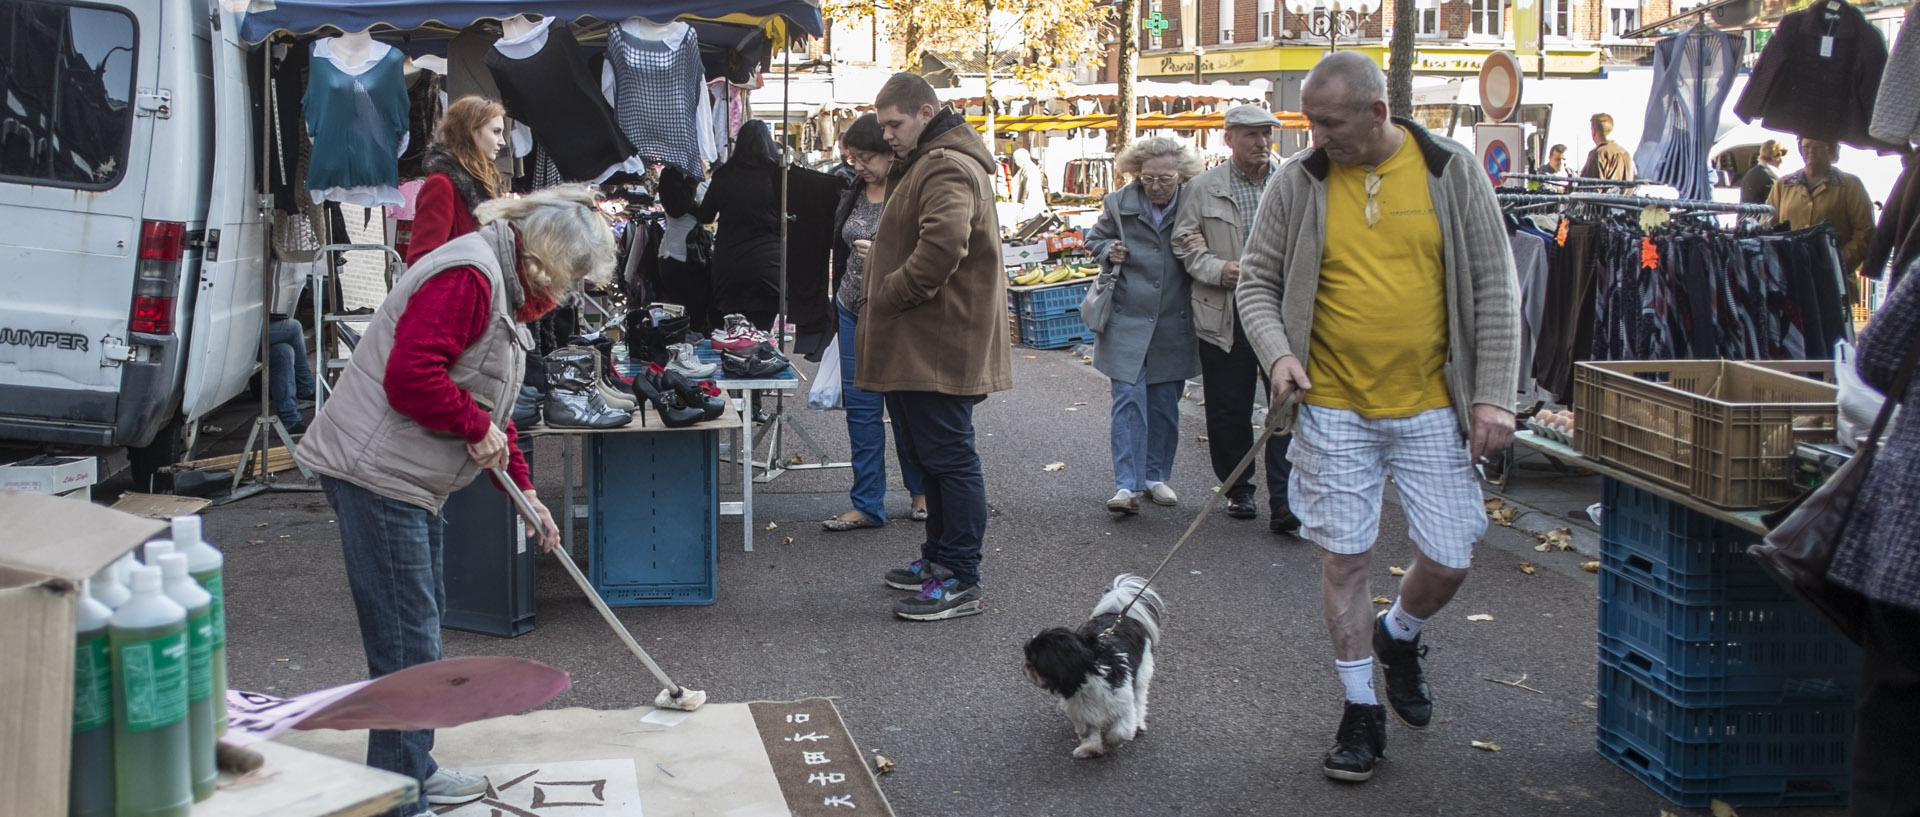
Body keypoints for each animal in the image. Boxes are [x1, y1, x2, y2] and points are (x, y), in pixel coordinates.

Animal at [1029, 575, 1159, 759]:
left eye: (1035, 660)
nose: (1027, 666)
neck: (1089, 678)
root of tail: (1119, 614)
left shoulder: (1122, 704)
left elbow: (1121, 730)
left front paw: (1112, 740)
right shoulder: (1082, 713)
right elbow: (1089, 733)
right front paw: (1090, 749)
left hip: (1142, 671)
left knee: (1140, 699)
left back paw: (1139, 724)